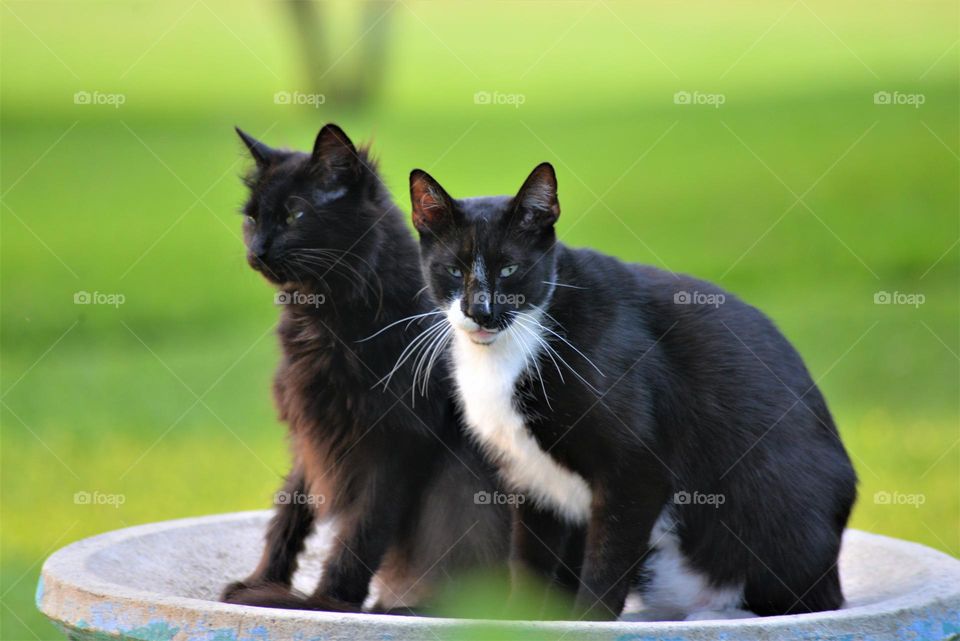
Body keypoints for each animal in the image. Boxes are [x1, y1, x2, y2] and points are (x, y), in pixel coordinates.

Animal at [221, 124, 510, 608]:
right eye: (252, 218)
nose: (256, 251)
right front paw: (261, 581)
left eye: (295, 216)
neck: (324, 318)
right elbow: (287, 516)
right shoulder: (311, 432)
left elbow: (362, 533)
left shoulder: (395, 442)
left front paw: (327, 603)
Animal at [408, 161, 860, 620]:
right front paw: (519, 620)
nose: (480, 311)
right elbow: (528, 560)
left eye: (508, 269)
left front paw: (587, 621)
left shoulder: (637, 471)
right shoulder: (530, 478)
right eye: (452, 270)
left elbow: (606, 560)